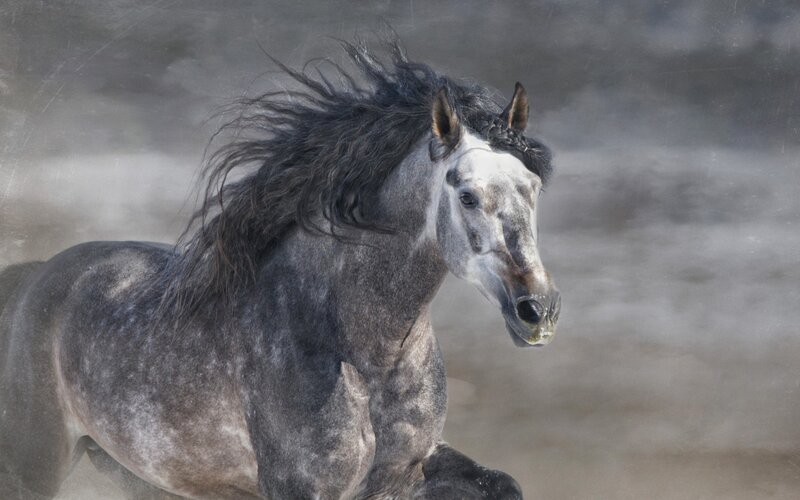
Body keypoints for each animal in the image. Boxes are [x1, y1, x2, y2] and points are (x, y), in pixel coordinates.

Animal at [0, 39, 560, 499]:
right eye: (466, 195)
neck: (366, 353)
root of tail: (36, 276)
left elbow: (502, 485)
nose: (537, 311)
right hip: (35, 466)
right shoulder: (302, 488)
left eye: (533, 186)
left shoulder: (405, 475)